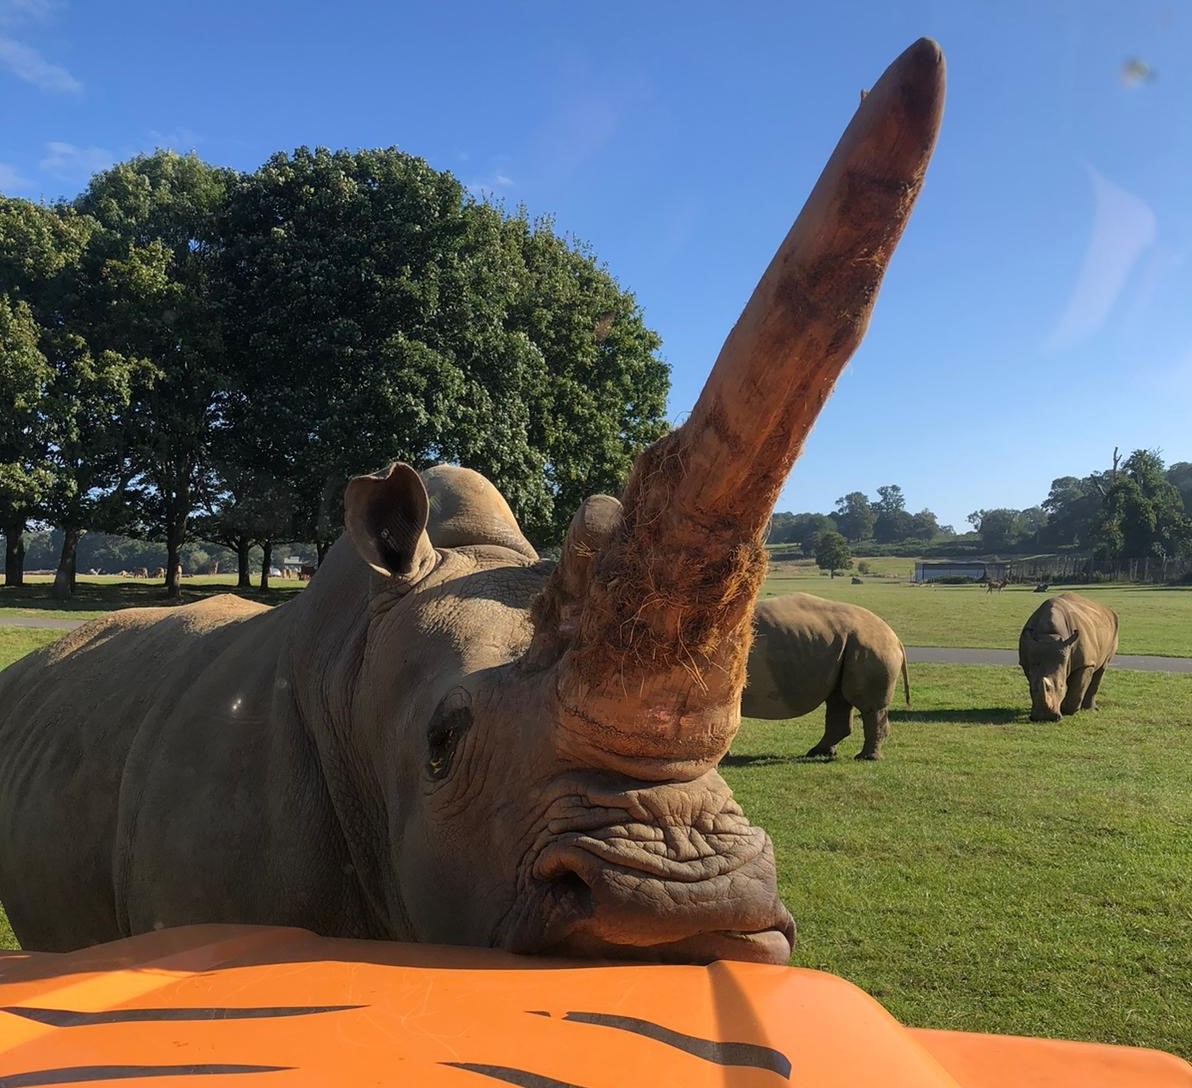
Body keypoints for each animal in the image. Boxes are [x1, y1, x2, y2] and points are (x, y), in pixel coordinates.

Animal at [739, 591, 905, 757]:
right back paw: (819, 752)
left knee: (868, 706)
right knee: (838, 698)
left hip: (871, 646)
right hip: (849, 644)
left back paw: (865, 757)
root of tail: (895, 637)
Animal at [1015, 591, 1115, 719]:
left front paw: (1066, 709)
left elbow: (1077, 689)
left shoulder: (1085, 663)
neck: (1049, 635)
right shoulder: (1028, 660)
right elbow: (1034, 678)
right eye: (1031, 689)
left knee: (1102, 668)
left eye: (1062, 686)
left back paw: (1091, 709)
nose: (1044, 717)